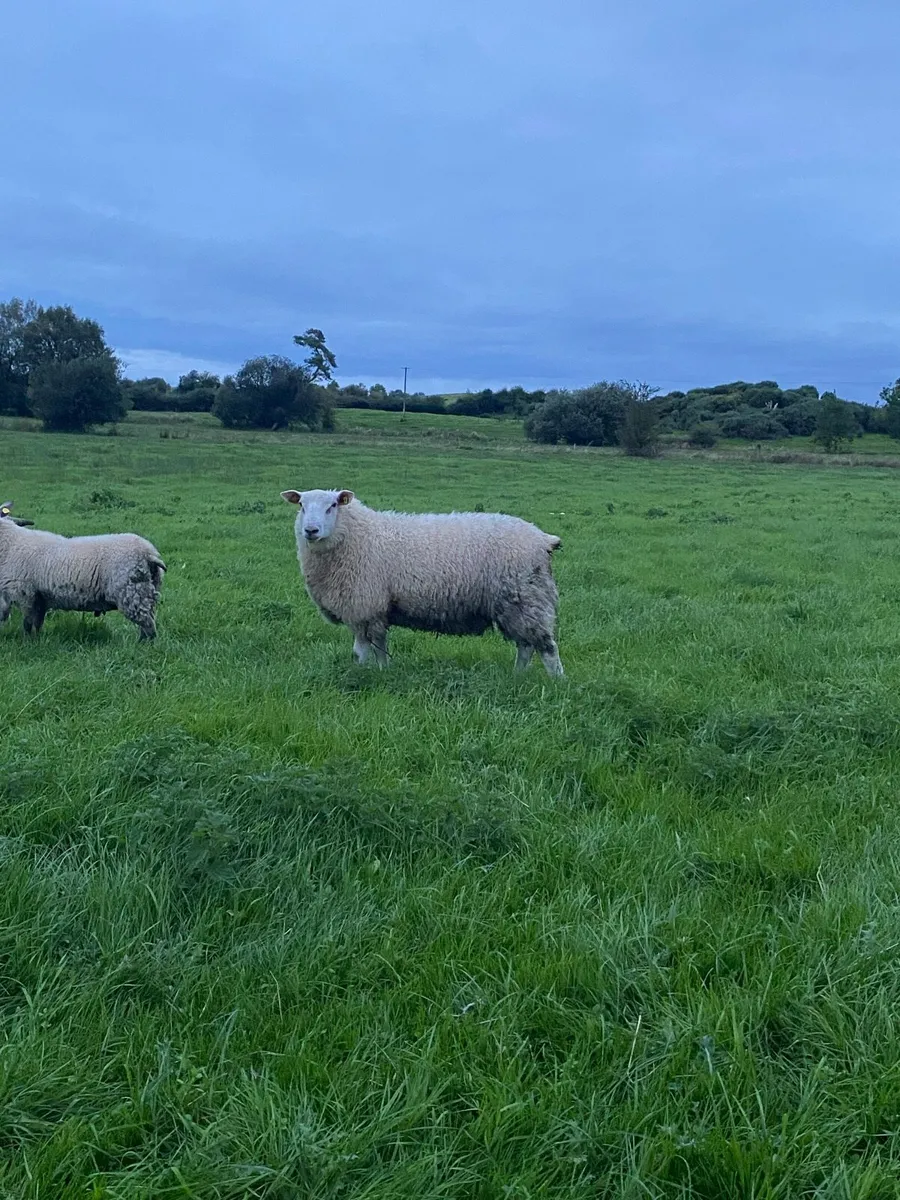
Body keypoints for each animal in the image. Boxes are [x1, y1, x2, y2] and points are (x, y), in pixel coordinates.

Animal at [0, 502, 166, 640]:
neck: (10, 543)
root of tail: (149, 553)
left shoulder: (24, 593)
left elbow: (27, 623)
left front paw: (27, 642)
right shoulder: (39, 598)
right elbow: (37, 623)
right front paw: (37, 640)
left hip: (131, 592)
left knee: (148, 627)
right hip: (148, 589)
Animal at [280, 487, 564, 676]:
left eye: (332, 506)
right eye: (301, 505)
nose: (311, 530)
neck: (357, 536)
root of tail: (543, 539)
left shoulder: (363, 606)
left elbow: (361, 650)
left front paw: (363, 673)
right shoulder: (376, 610)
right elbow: (380, 645)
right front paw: (384, 671)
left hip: (526, 599)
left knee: (546, 647)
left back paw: (556, 682)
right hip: (517, 604)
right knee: (526, 645)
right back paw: (518, 676)